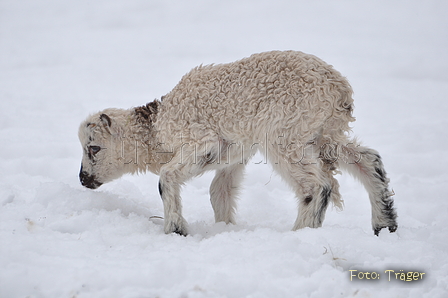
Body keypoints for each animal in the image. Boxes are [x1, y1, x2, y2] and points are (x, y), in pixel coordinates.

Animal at [79, 50, 398, 235]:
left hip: (285, 132)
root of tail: (339, 88)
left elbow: (167, 177)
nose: (82, 179)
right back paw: (384, 223)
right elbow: (218, 192)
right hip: (322, 133)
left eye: (94, 148)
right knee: (368, 159)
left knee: (316, 185)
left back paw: (301, 234)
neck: (156, 128)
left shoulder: (202, 140)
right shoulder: (233, 156)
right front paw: (225, 228)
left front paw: (176, 229)